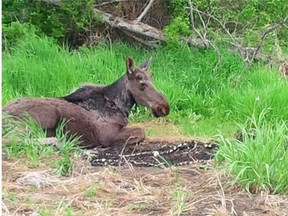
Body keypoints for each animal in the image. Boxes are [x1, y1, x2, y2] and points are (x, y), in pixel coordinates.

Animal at [3, 56, 170, 148]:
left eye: (151, 77)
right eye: (142, 84)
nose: (164, 107)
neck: (120, 106)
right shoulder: (107, 134)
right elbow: (141, 132)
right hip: (41, 118)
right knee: (11, 139)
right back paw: (58, 142)